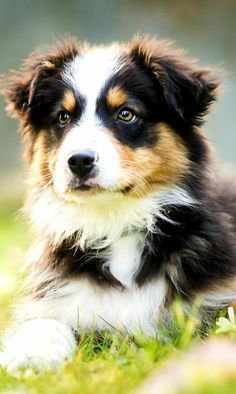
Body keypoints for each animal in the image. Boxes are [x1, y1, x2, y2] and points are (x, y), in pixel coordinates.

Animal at [0, 37, 236, 372]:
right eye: (63, 117)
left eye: (126, 114)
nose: (79, 161)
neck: (115, 222)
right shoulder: (55, 294)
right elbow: (43, 322)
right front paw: (32, 354)